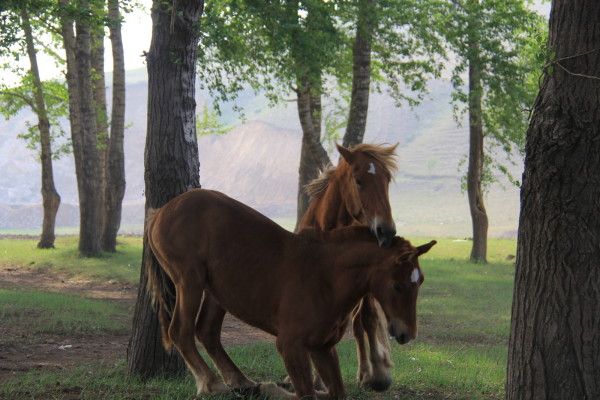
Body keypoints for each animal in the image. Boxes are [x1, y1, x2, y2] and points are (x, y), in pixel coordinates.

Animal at [147, 189, 434, 398]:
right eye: (397, 285)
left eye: (419, 282)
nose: (407, 333)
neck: (326, 277)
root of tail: (161, 212)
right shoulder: (291, 346)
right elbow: (306, 394)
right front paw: (273, 389)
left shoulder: (322, 348)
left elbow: (335, 393)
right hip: (190, 280)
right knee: (181, 331)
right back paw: (211, 383)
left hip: (216, 291)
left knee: (206, 331)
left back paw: (242, 382)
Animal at [298, 143, 398, 390]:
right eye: (359, 180)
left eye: (387, 180)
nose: (387, 231)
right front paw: (316, 378)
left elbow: (368, 320)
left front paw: (378, 374)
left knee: (361, 324)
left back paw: (368, 373)